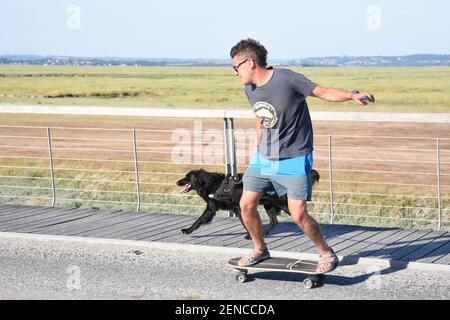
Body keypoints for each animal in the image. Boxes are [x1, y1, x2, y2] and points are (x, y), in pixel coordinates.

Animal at [176, 169, 320, 239]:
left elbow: (199, 220)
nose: (177, 182)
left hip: (283, 205)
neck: (211, 184)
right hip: (269, 205)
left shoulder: (214, 208)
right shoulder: (234, 209)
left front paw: (187, 230)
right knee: (274, 221)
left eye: (186, 177)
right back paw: (264, 233)